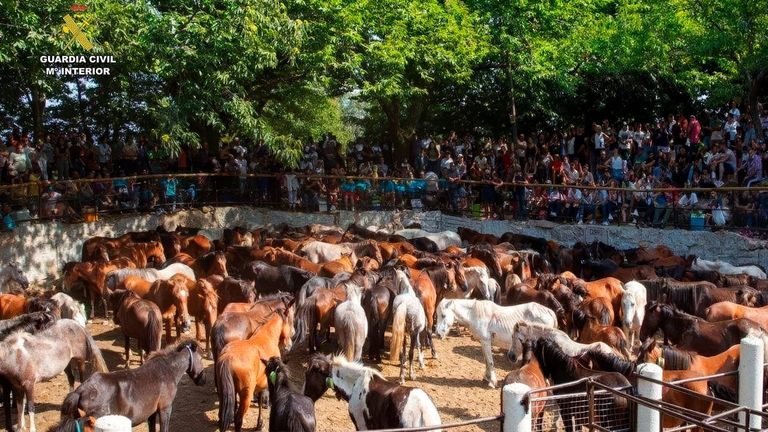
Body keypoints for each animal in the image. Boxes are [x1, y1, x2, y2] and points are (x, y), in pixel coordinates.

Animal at [60, 340, 205, 432]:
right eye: (201, 359)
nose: (203, 380)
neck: (168, 370)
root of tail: (79, 391)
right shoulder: (165, 409)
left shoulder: (152, 412)